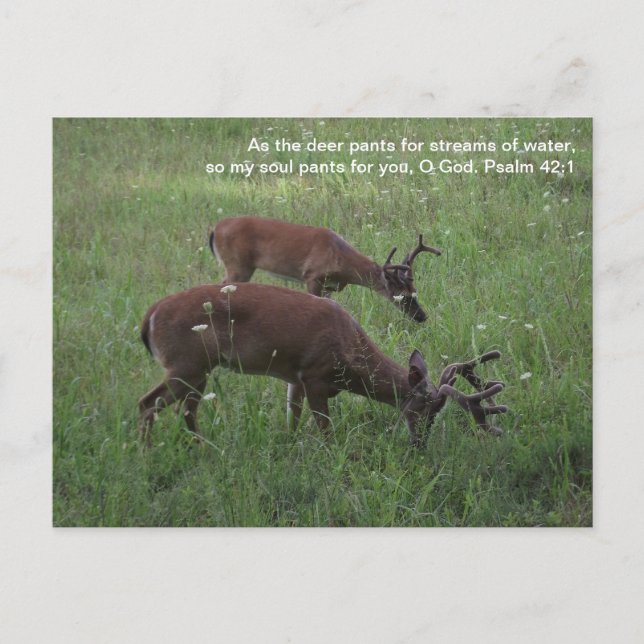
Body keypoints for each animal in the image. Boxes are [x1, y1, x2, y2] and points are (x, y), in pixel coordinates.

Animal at [138, 282, 508, 447]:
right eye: (424, 408)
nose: (420, 444)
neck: (350, 357)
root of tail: (149, 316)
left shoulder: (295, 377)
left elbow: (292, 418)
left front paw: (289, 446)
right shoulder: (315, 375)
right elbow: (326, 430)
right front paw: (332, 456)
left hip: (193, 370)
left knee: (181, 409)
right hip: (188, 364)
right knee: (148, 403)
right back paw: (150, 452)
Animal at [208, 216, 441, 323]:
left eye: (415, 292)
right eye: (402, 297)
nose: (422, 317)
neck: (340, 257)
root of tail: (215, 229)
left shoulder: (330, 285)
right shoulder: (312, 276)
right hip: (238, 265)